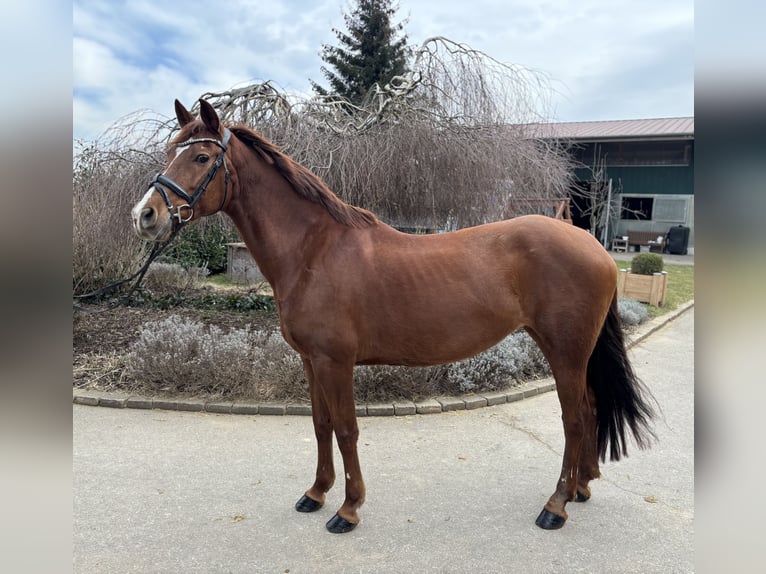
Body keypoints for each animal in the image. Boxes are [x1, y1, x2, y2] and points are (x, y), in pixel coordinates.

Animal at [131, 99, 656, 534]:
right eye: (170, 151)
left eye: (201, 158)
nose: (145, 215)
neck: (313, 250)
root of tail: (593, 245)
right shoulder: (310, 361)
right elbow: (320, 425)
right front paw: (316, 494)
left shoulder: (335, 362)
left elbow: (347, 430)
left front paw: (347, 510)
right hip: (570, 351)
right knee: (589, 409)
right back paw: (582, 487)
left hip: (565, 351)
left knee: (574, 417)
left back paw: (556, 506)